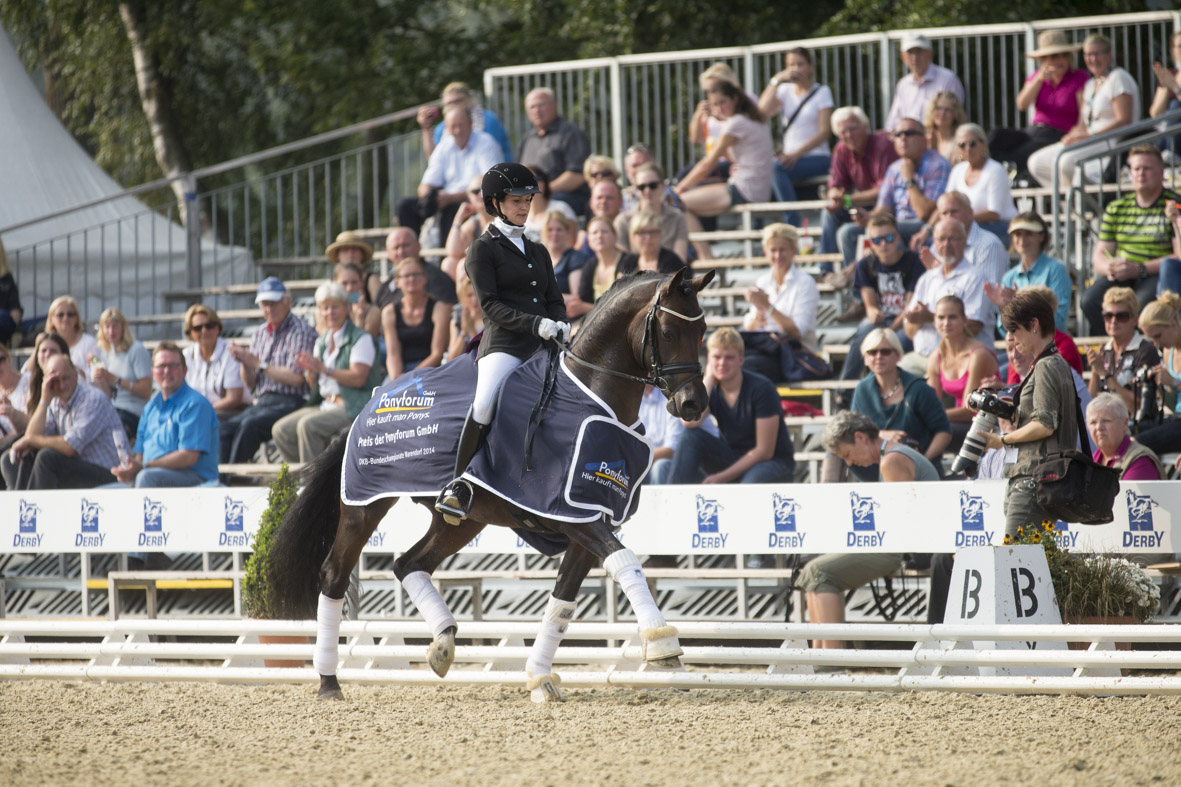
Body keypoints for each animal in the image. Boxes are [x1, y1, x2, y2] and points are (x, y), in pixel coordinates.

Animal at [266, 267, 716, 702]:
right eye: (669, 332)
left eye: (703, 331)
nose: (694, 403)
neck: (592, 396)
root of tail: (370, 402)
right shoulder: (571, 515)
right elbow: (625, 562)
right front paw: (663, 646)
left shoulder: (589, 519)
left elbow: (564, 599)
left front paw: (539, 676)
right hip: (365, 505)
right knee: (334, 575)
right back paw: (329, 681)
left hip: (464, 520)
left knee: (409, 563)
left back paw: (443, 644)